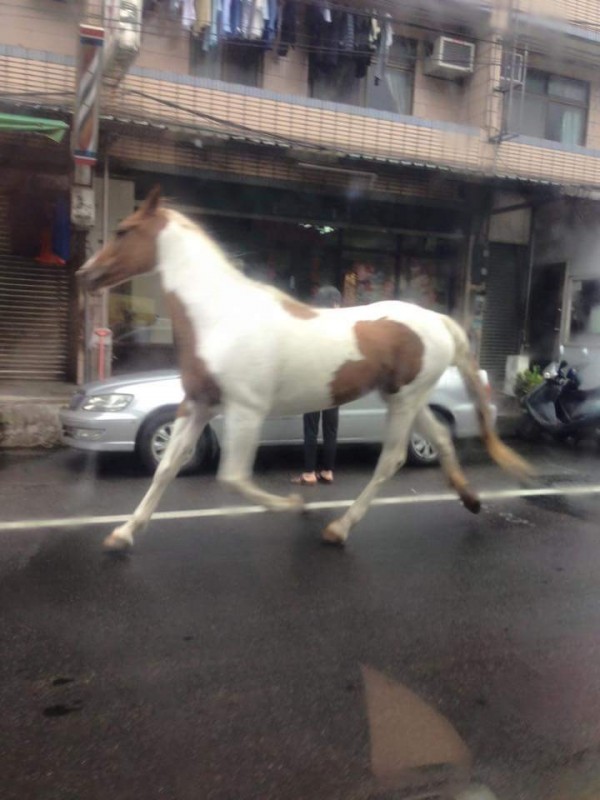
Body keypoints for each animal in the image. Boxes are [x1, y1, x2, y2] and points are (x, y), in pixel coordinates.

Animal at [77, 187, 532, 552]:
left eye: (123, 230)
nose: (85, 273)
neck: (220, 315)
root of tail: (438, 321)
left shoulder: (245, 411)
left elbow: (233, 478)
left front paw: (297, 505)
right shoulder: (198, 405)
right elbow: (166, 469)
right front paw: (122, 534)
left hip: (404, 402)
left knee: (392, 459)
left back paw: (339, 528)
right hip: (405, 397)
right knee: (439, 439)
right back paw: (470, 500)